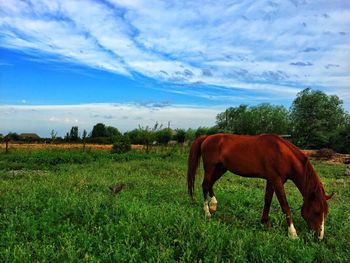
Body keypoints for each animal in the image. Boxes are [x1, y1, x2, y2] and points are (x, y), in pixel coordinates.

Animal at [187, 135, 334, 240]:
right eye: (316, 211)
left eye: (325, 213)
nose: (320, 237)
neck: (282, 153)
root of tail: (207, 137)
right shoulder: (277, 180)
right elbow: (285, 205)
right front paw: (292, 234)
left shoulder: (271, 180)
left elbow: (267, 199)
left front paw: (264, 222)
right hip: (210, 168)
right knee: (205, 185)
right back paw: (207, 212)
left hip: (221, 168)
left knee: (210, 184)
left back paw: (213, 205)